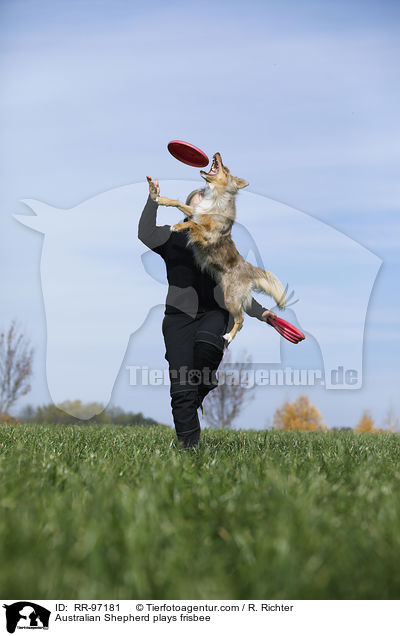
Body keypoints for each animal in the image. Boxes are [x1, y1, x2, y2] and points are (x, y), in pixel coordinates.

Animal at [155, 152, 286, 342]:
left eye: (225, 168)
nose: (217, 153)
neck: (215, 198)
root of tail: (248, 268)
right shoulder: (196, 211)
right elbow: (181, 206)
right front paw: (161, 199)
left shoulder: (208, 236)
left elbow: (193, 224)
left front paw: (177, 226)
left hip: (230, 298)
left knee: (240, 319)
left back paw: (229, 336)